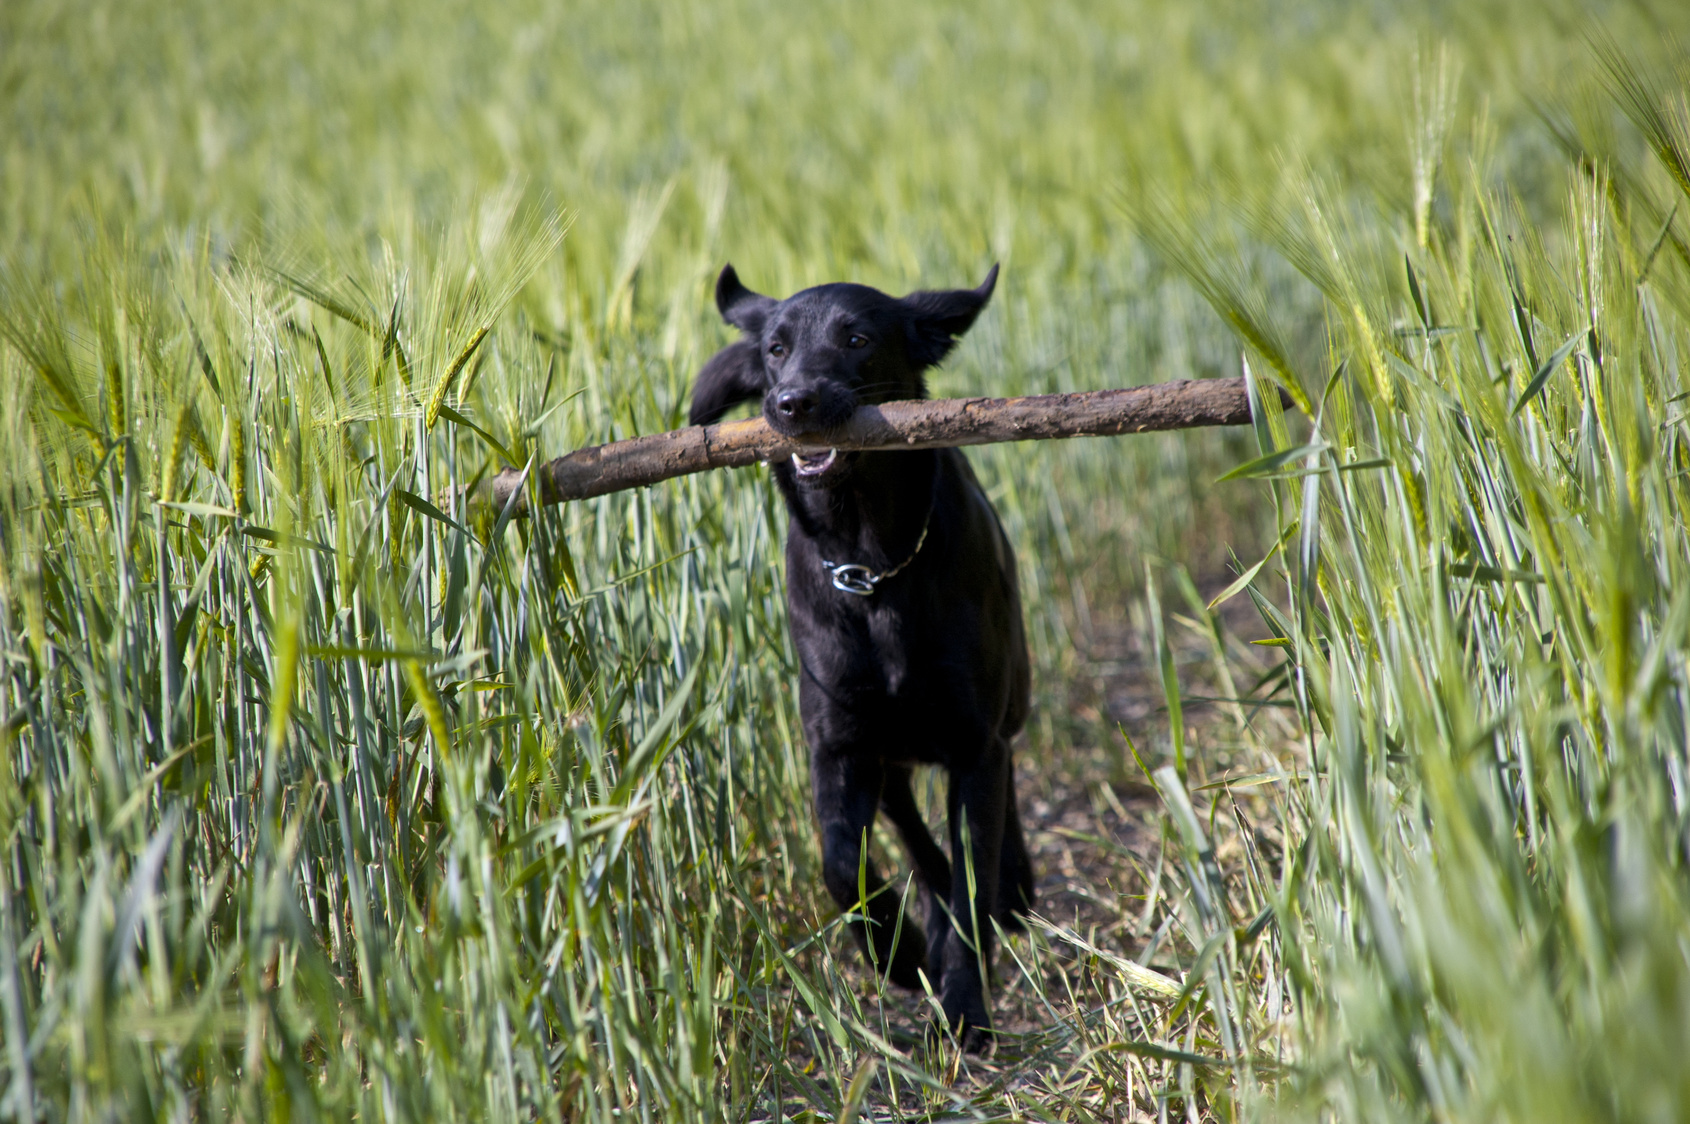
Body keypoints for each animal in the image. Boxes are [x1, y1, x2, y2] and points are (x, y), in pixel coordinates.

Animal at [692, 260, 1034, 1041]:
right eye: (776, 349)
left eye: (856, 339)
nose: (793, 403)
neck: (871, 567)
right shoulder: (837, 744)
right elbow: (840, 866)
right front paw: (897, 953)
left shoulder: (975, 745)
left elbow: (973, 875)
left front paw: (965, 1005)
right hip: (889, 754)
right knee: (911, 830)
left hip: (1006, 707)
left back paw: (1015, 890)